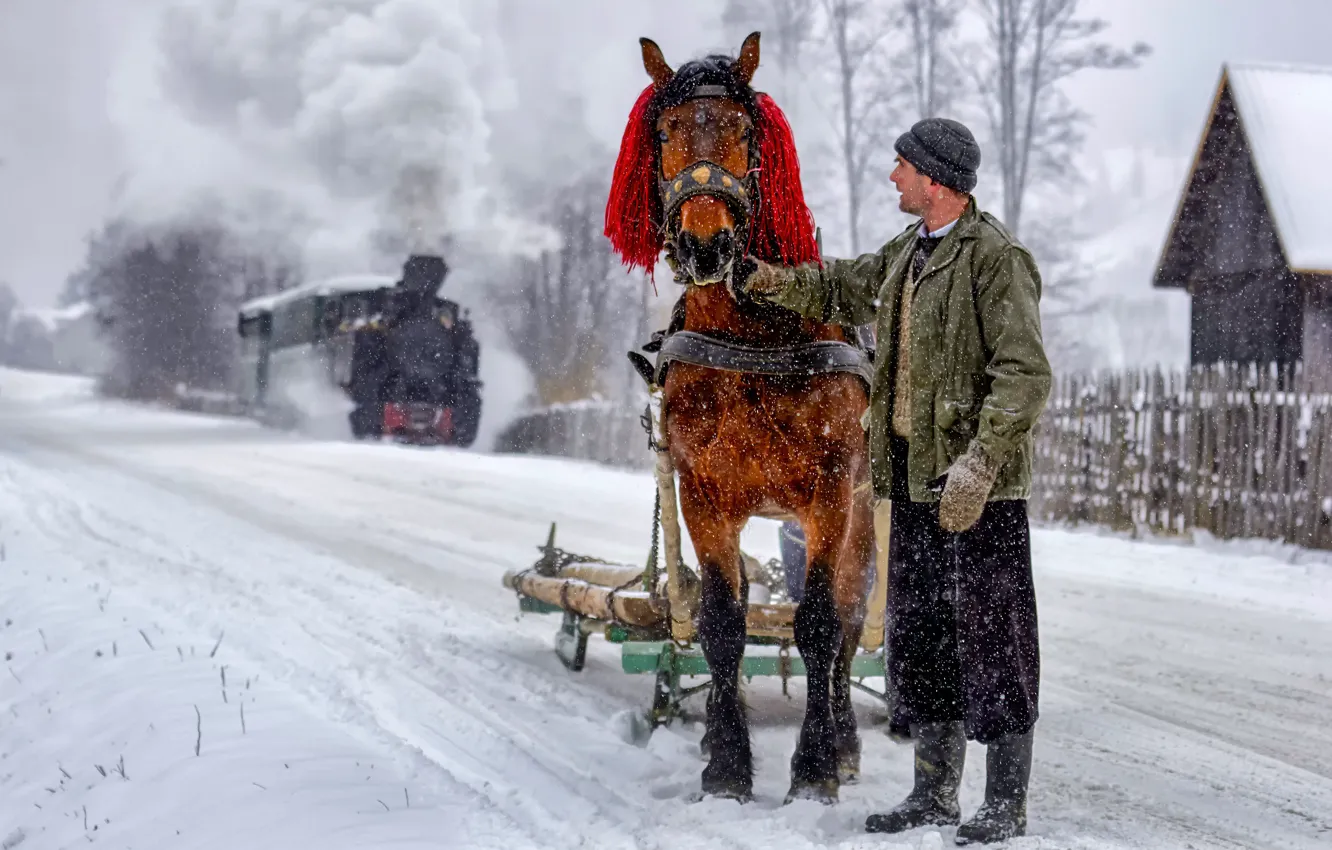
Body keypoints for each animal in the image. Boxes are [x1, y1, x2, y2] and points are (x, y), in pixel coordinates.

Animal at [605, 32, 876, 804]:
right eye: (665, 132)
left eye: (743, 131)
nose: (706, 244)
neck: (753, 339)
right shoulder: (702, 492)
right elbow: (722, 622)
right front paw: (726, 765)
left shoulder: (829, 491)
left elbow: (819, 623)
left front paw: (814, 768)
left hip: (862, 512)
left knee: (850, 622)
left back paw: (845, 742)